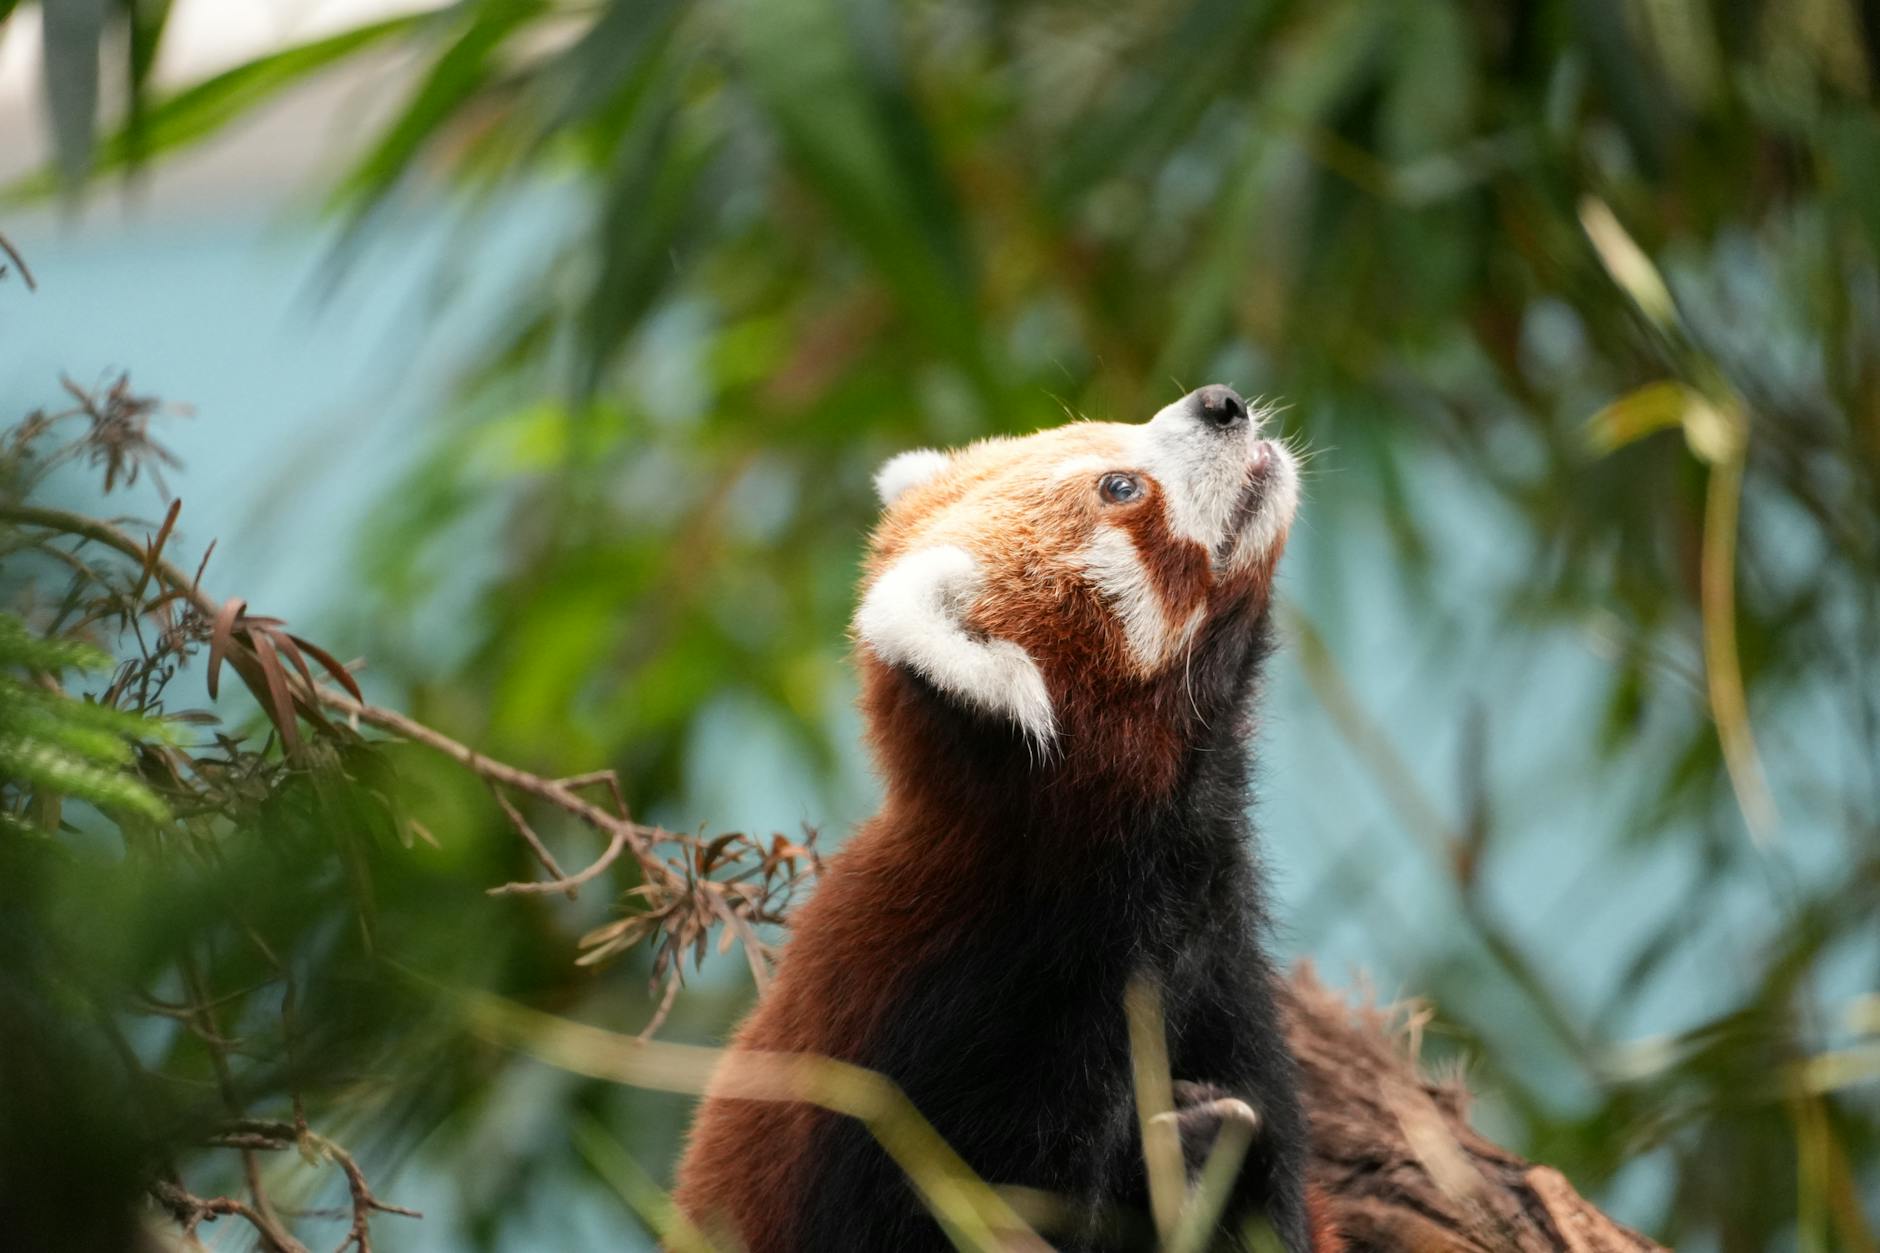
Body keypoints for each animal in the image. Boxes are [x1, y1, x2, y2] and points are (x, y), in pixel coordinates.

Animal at [673, 384, 1336, 1252]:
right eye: (1121, 487)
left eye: (1113, 430)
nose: (1218, 402)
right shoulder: (965, 1046)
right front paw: (1186, 1157)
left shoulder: (1225, 975)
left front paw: (1217, 1158)